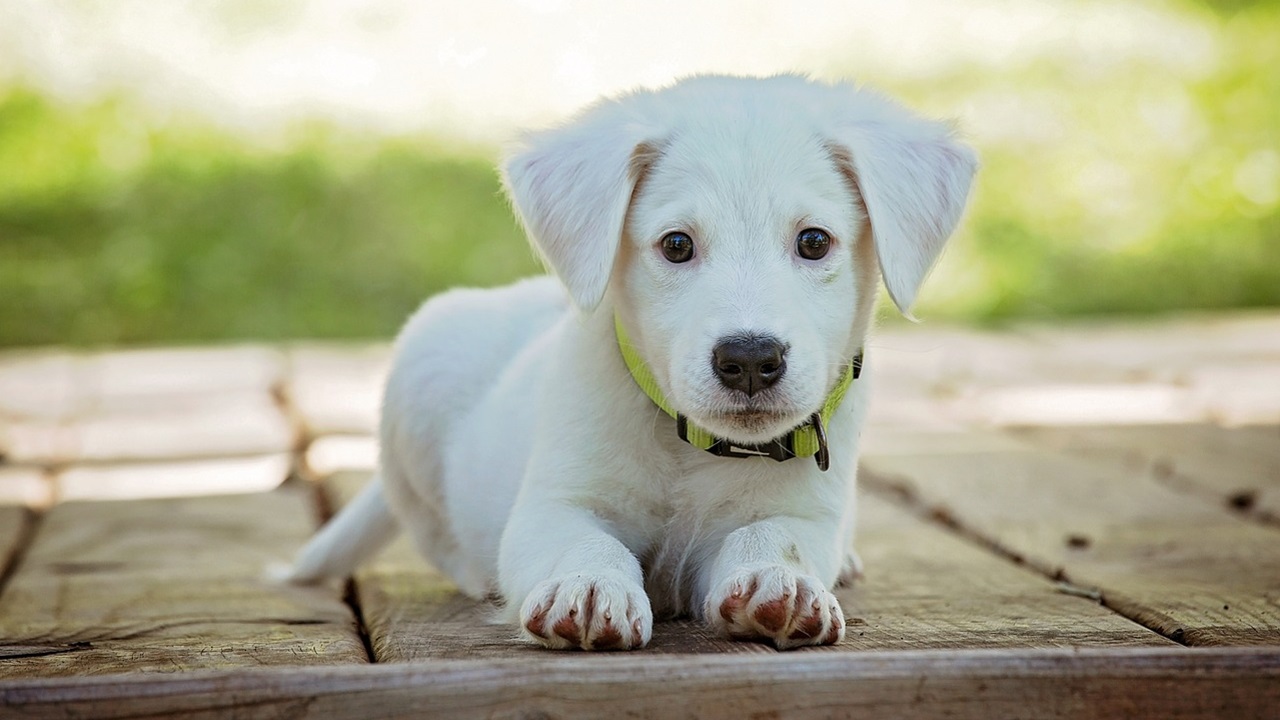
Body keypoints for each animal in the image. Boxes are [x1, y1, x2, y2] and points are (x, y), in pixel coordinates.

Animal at [288, 75, 967, 648]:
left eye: (814, 241)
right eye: (677, 245)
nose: (750, 359)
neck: (693, 448)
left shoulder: (805, 513)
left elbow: (772, 536)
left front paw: (782, 583)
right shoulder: (554, 505)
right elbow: (586, 543)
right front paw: (590, 587)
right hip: (420, 376)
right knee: (439, 537)